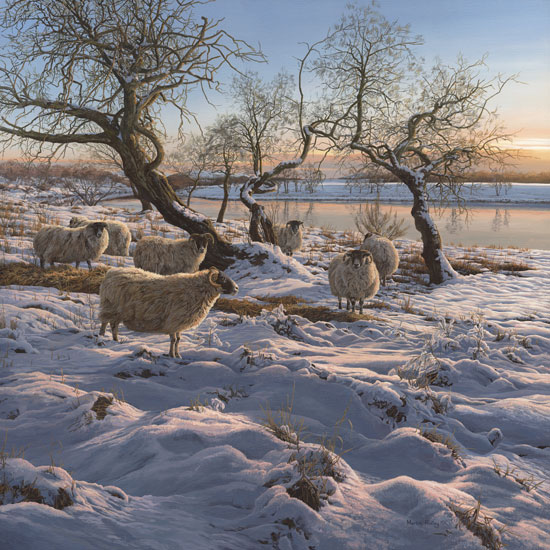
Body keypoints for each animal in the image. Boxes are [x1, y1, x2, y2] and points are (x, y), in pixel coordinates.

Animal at [98, 266, 239, 358]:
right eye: (222, 279)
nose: (237, 288)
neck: (197, 289)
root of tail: (110, 273)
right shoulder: (174, 322)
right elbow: (173, 340)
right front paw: (172, 355)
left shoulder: (179, 324)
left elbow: (178, 340)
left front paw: (177, 355)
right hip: (111, 307)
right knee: (106, 323)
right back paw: (102, 336)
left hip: (116, 311)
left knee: (113, 325)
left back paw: (115, 339)